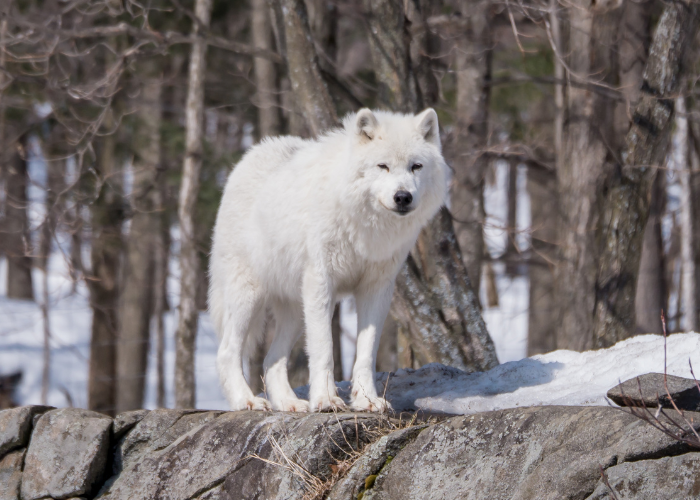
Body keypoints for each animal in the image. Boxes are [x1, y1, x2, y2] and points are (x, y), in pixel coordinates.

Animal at [209, 108, 449, 412]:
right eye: (382, 166)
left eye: (416, 166)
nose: (403, 197)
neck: (365, 227)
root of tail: (250, 155)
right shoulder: (321, 283)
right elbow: (324, 349)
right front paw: (325, 400)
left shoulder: (376, 289)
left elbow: (366, 353)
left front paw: (366, 400)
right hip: (249, 297)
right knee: (227, 352)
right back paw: (247, 401)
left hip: (295, 310)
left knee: (271, 360)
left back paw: (289, 403)